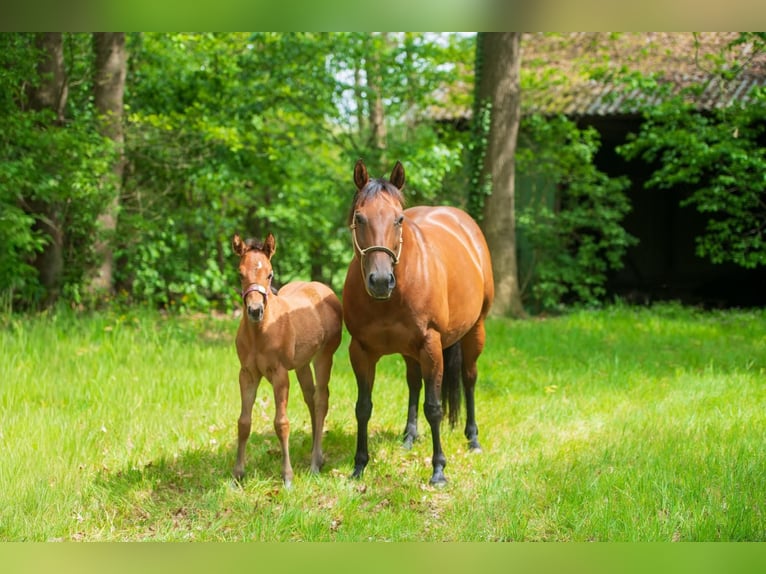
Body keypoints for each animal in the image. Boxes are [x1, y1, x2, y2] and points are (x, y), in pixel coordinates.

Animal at [232, 232, 343, 487]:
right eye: (240, 273)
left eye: (270, 273)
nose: (255, 310)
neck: (260, 332)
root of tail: (326, 290)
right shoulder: (247, 374)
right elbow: (244, 422)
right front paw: (238, 474)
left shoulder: (280, 374)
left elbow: (281, 423)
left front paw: (287, 477)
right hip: (302, 364)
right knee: (310, 398)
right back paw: (316, 454)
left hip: (324, 356)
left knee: (321, 399)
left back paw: (315, 462)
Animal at [342, 160, 494, 485]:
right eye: (359, 218)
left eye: (399, 219)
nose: (380, 281)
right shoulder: (360, 351)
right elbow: (363, 407)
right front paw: (359, 465)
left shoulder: (431, 346)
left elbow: (434, 408)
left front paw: (438, 469)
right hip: (409, 351)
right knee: (414, 383)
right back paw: (409, 437)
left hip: (475, 331)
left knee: (469, 378)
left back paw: (473, 439)